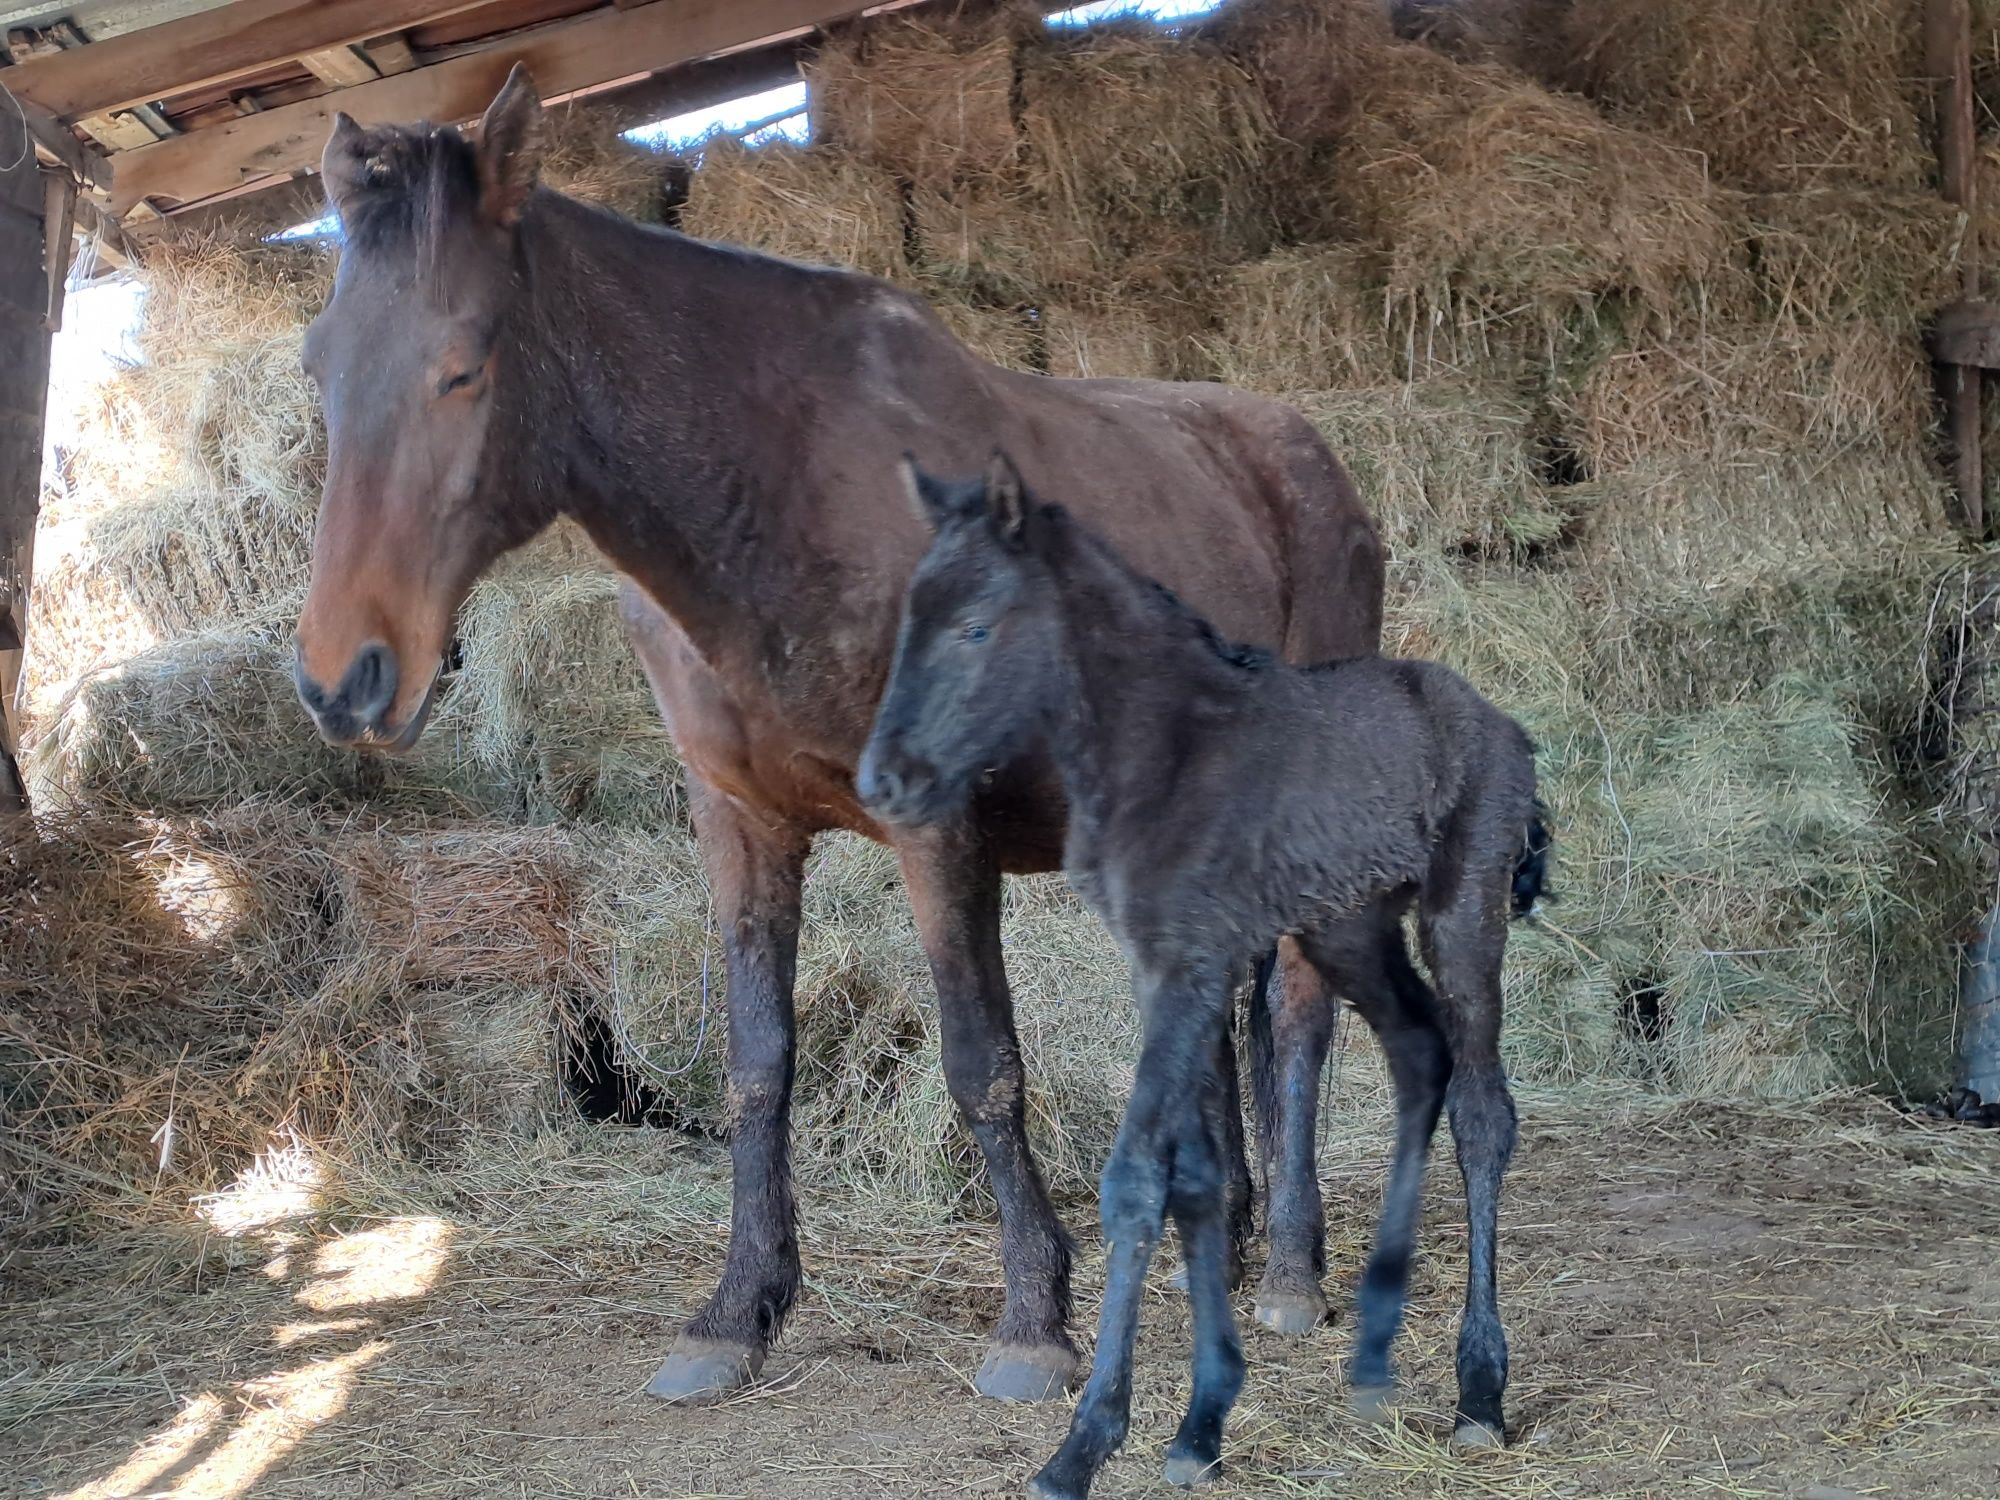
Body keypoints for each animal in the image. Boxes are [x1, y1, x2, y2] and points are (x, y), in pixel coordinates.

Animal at [860, 462, 1544, 1500]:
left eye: (976, 627)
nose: (883, 781)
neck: (1165, 750)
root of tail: (1504, 723)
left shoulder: (1189, 965)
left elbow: (1140, 1179)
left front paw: (1082, 1447)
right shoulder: (1169, 968)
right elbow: (1199, 1175)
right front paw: (1198, 1426)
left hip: (1463, 912)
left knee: (1481, 1111)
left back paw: (1479, 1395)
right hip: (1350, 930)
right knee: (1418, 1062)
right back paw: (1374, 1357)